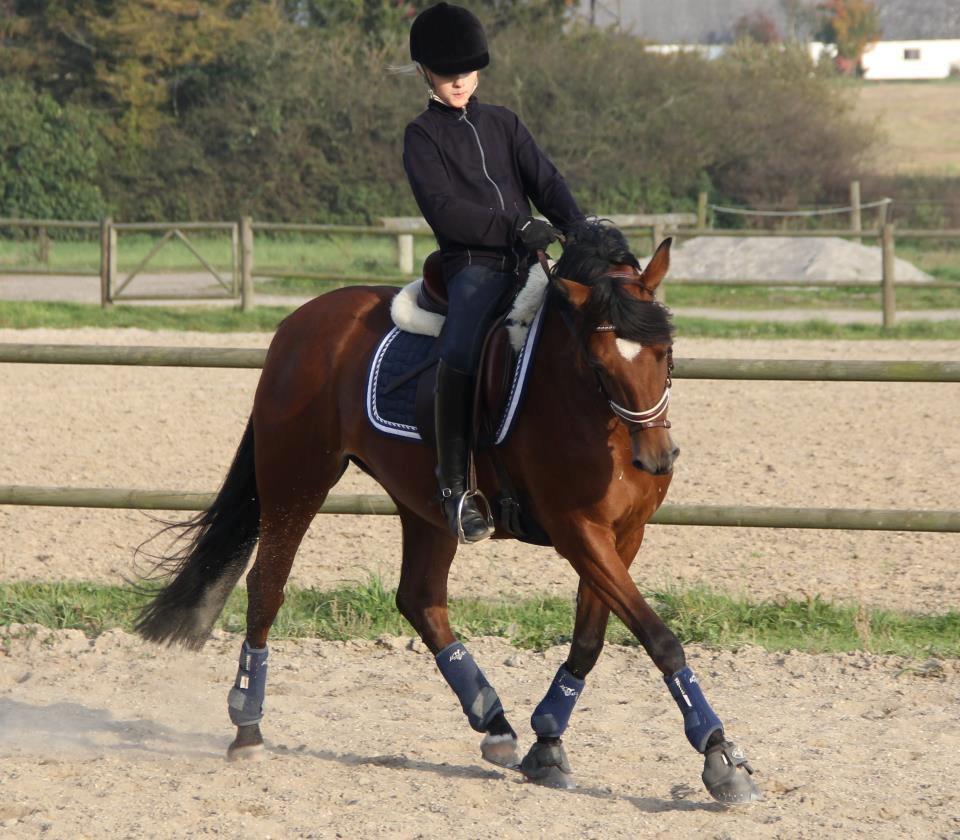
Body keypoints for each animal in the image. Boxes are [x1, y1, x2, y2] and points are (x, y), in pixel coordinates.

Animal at [134, 221, 760, 803]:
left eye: (666, 351)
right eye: (599, 362)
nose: (657, 458)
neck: (586, 406)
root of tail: (298, 323)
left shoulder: (623, 535)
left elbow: (590, 640)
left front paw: (547, 742)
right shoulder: (577, 531)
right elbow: (659, 637)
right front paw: (720, 756)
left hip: (426, 508)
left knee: (420, 599)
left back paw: (495, 722)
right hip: (296, 480)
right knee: (268, 585)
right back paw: (248, 726)